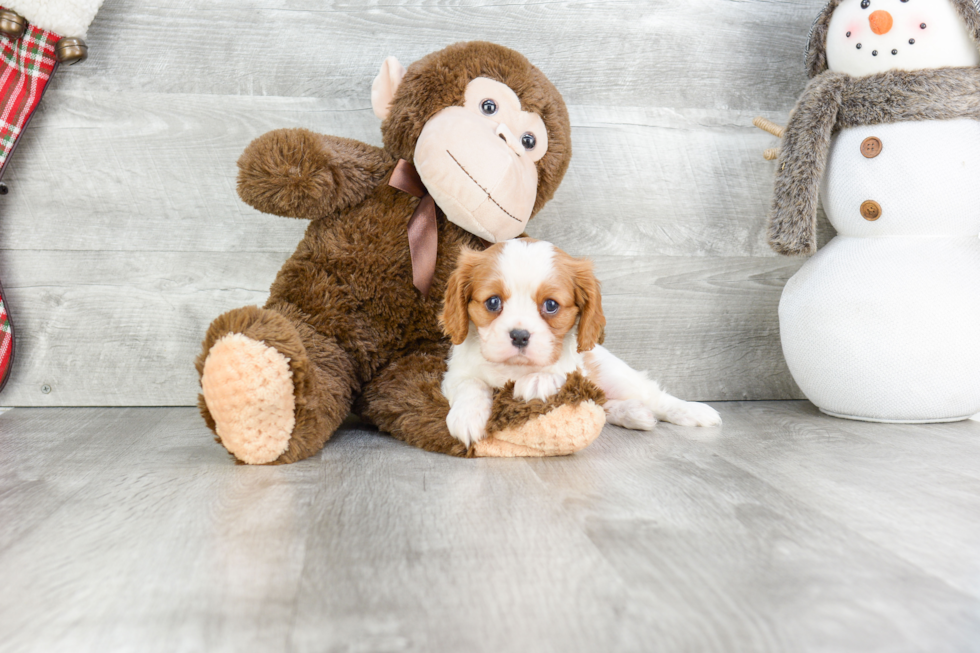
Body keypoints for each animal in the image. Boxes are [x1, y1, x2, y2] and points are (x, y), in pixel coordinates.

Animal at [440, 237, 724, 446]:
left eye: (551, 305)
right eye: (492, 302)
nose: (520, 335)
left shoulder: (575, 369)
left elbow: (561, 373)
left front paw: (537, 379)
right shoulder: (455, 375)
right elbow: (471, 384)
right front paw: (468, 416)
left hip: (615, 373)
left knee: (652, 396)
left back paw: (691, 411)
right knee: (601, 402)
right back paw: (634, 413)